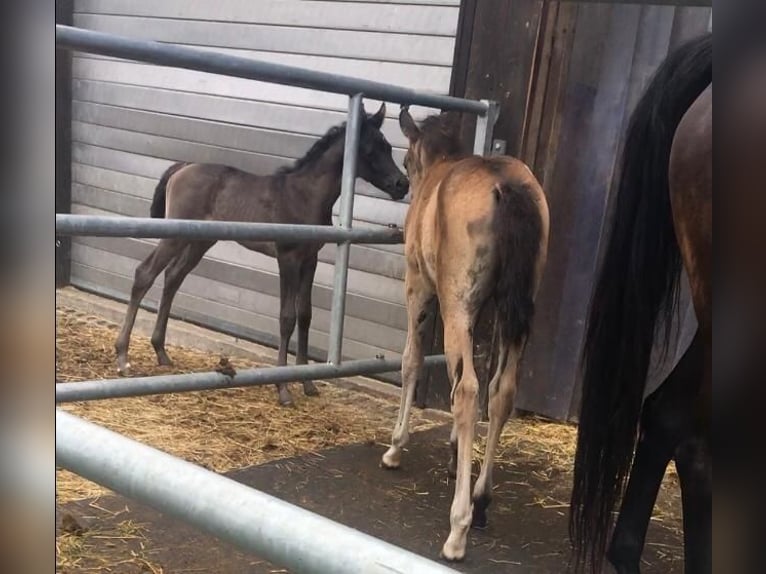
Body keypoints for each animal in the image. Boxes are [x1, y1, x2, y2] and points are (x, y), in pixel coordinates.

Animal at [114, 104, 412, 410]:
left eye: (388, 146)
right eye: (370, 150)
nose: (402, 184)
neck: (303, 196)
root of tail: (183, 167)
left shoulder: (310, 260)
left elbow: (305, 315)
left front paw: (308, 382)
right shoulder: (287, 258)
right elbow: (287, 318)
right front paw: (283, 388)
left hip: (199, 240)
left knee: (173, 276)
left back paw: (161, 352)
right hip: (176, 236)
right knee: (145, 273)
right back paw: (123, 357)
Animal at [384, 108, 552, 564]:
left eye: (406, 159)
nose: (403, 186)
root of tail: (506, 187)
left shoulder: (420, 288)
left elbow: (412, 361)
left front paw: (395, 447)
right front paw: (455, 455)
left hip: (456, 304)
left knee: (468, 392)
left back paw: (457, 529)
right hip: (513, 313)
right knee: (501, 391)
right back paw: (481, 501)